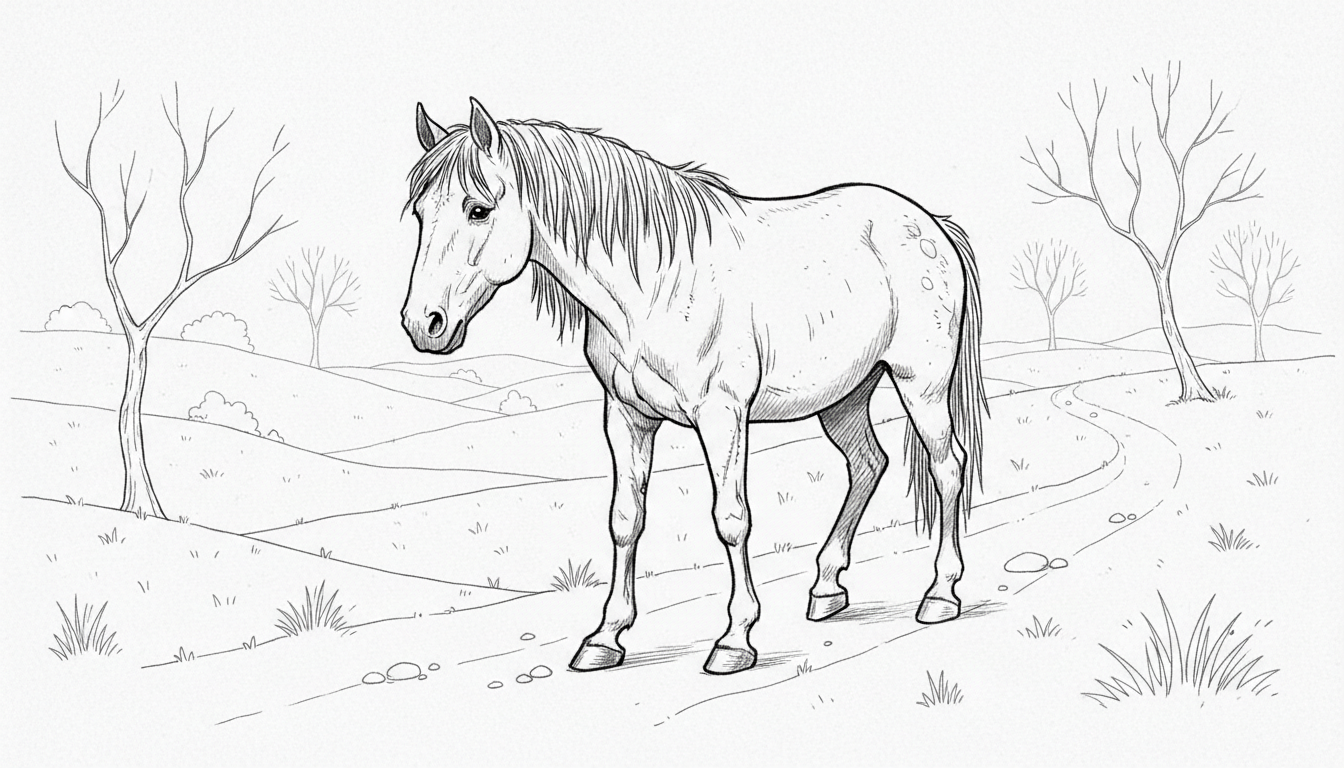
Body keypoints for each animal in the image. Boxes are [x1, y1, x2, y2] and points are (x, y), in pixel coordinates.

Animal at [400, 98, 987, 675]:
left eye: (478, 209)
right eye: (421, 213)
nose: (423, 324)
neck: (655, 284)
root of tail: (929, 224)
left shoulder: (722, 415)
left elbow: (731, 518)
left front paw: (735, 640)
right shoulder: (626, 415)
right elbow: (625, 519)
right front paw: (605, 638)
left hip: (921, 384)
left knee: (947, 466)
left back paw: (940, 594)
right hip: (844, 396)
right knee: (868, 463)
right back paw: (826, 589)